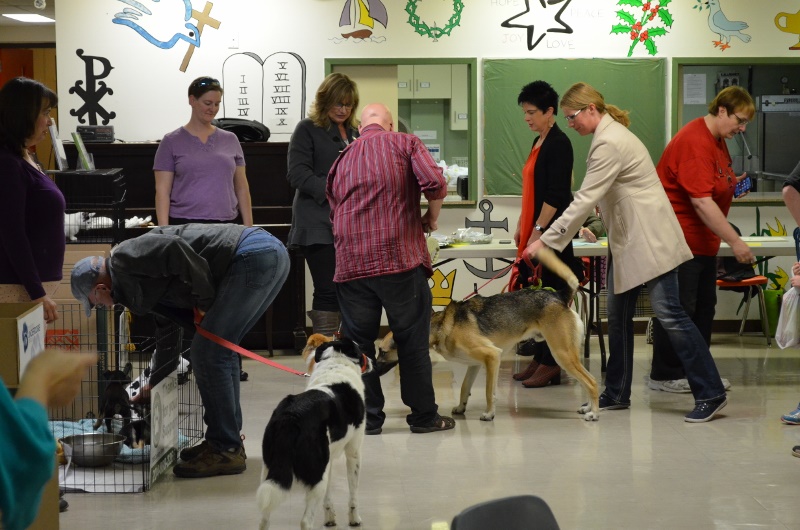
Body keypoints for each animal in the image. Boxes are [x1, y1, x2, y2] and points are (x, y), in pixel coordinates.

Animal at [258, 338, 374, 528]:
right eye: (360, 349)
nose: (372, 360)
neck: (336, 364)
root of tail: (290, 418)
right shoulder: (354, 452)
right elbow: (353, 495)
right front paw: (354, 519)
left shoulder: (329, 461)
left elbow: (328, 498)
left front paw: (330, 519)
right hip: (317, 474)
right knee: (306, 521)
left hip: (272, 472)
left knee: (264, 518)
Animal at [378, 248, 596, 420]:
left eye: (382, 352)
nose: (371, 370)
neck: (441, 326)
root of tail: (558, 295)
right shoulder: (474, 364)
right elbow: (464, 388)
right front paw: (461, 407)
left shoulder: (492, 357)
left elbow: (488, 392)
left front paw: (490, 413)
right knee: (587, 381)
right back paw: (587, 407)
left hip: (562, 354)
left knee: (591, 382)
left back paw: (594, 412)